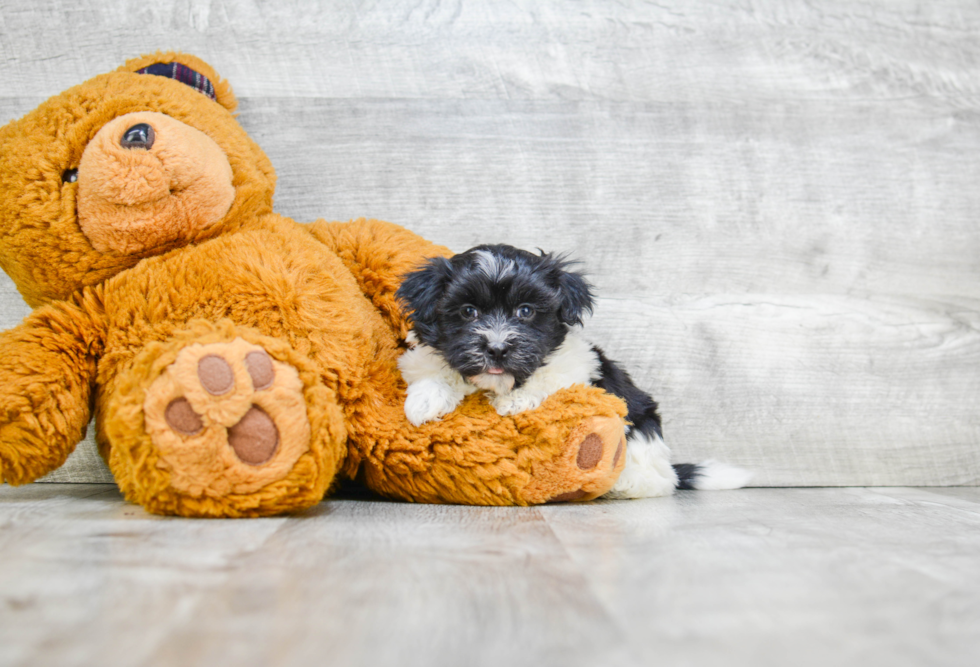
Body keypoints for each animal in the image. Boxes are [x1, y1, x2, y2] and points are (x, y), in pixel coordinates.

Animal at [394, 244, 748, 496]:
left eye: (525, 311)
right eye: (468, 312)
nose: (497, 349)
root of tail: (668, 468)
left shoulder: (579, 363)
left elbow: (550, 375)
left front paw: (515, 401)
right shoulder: (424, 357)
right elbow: (432, 368)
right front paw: (424, 402)